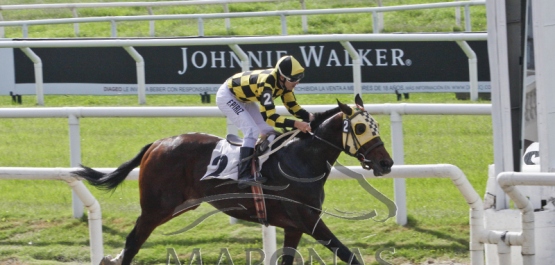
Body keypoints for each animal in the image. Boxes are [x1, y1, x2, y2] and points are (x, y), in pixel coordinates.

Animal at [73, 94, 396, 262]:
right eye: (360, 128)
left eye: (376, 126)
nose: (386, 163)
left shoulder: (294, 226)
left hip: (179, 205)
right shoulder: (309, 220)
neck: (301, 160)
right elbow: (348, 255)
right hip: (157, 208)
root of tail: (157, 144)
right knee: (133, 242)